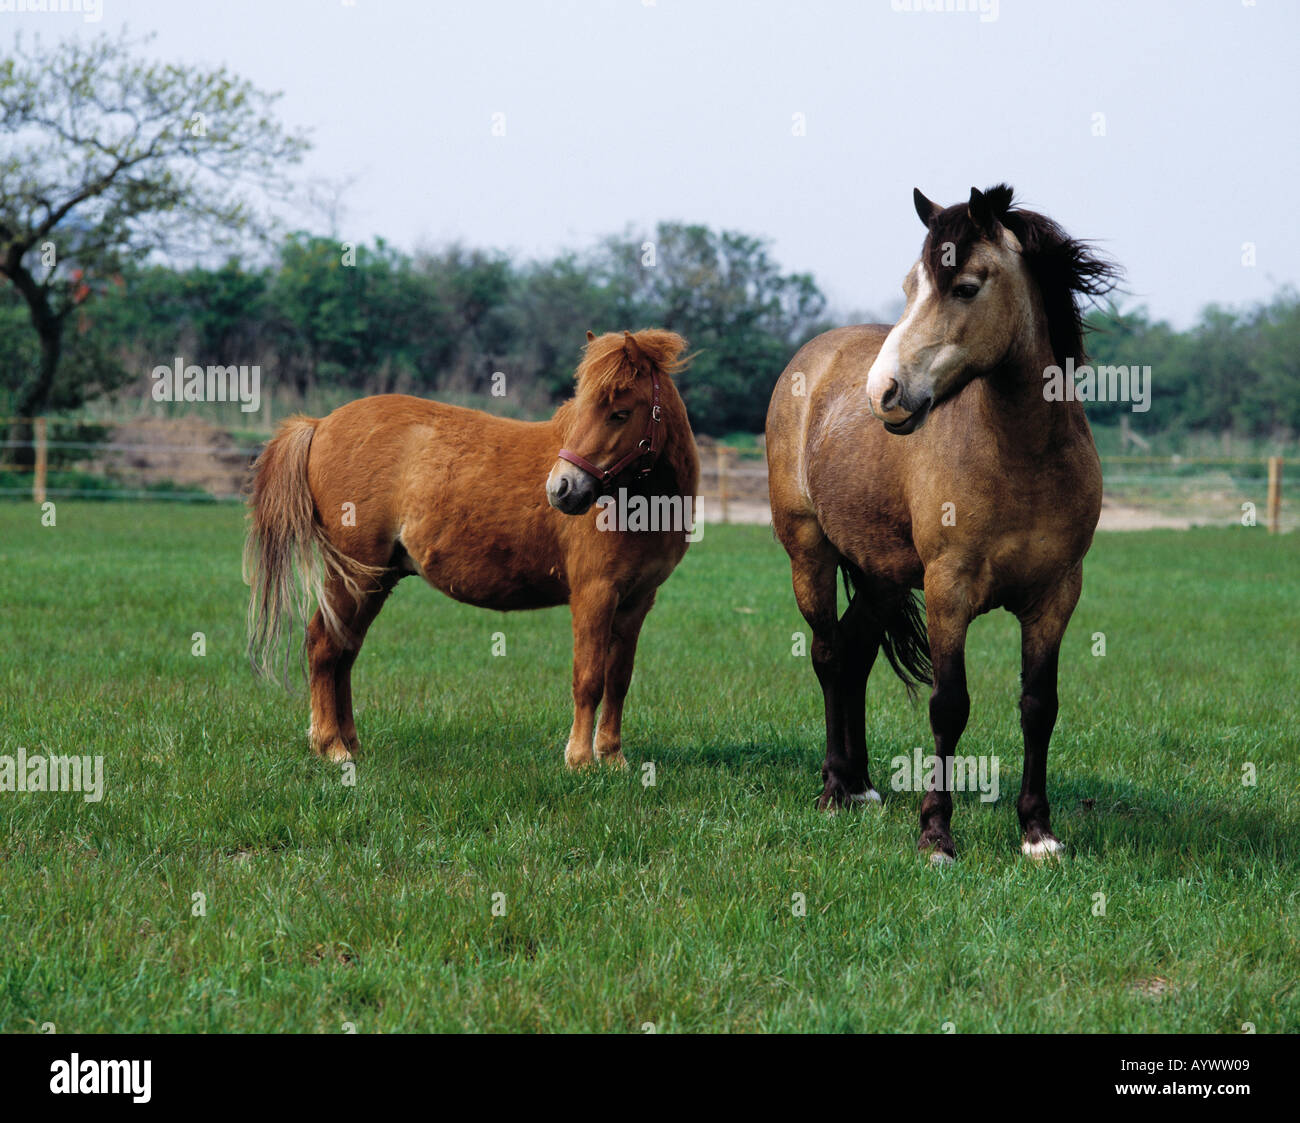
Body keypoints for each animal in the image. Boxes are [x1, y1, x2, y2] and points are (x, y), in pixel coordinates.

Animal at [240, 328, 696, 769]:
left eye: (620, 412)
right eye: (581, 408)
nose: (561, 489)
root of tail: (320, 424)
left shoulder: (636, 601)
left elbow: (618, 680)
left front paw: (612, 756)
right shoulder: (593, 594)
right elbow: (588, 678)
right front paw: (581, 761)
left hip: (374, 581)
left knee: (345, 652)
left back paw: (349, 743)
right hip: (351, 575)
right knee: (323, 646)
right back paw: (330, 746)